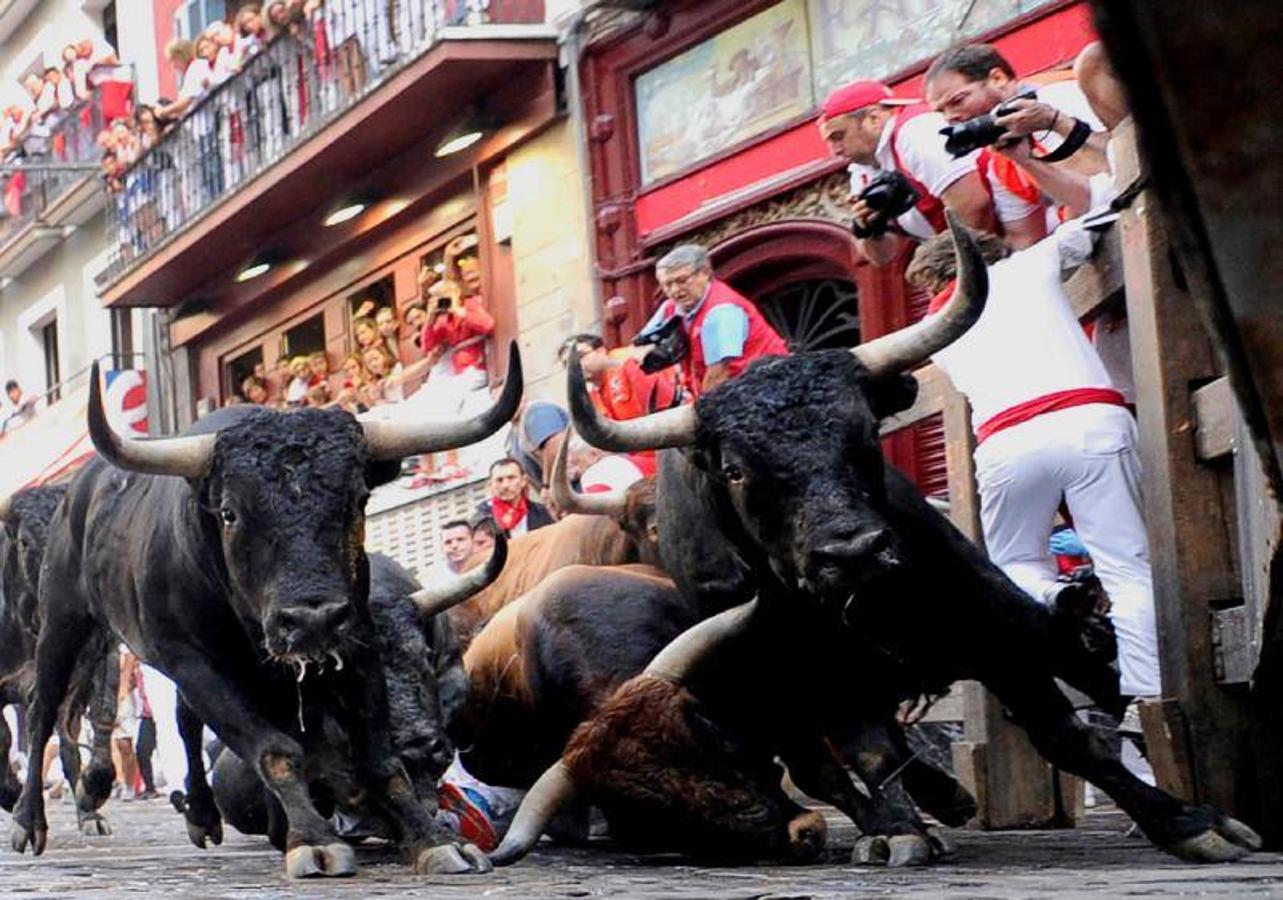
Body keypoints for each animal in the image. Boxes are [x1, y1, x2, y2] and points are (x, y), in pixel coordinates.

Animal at [10, 346, 520, 878]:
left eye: (358, 499)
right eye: (230, 512)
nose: (312, 619)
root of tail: (75, 494)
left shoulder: (356, 642)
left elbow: (380, 757)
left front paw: (433, 839)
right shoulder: (194, 664)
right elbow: (276, 750)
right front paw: (313, 839)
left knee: (185, 724)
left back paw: (202, 813)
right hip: (64, 623)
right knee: (44, 708)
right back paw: (29, 820)